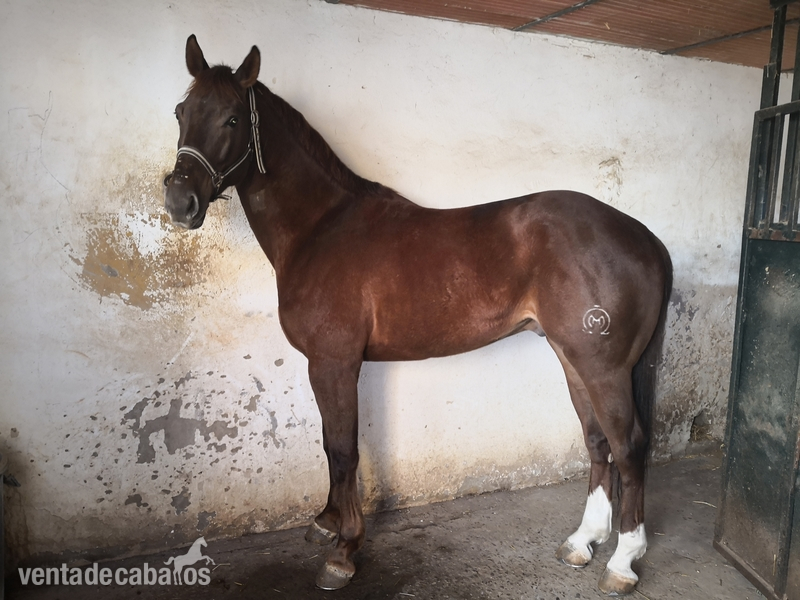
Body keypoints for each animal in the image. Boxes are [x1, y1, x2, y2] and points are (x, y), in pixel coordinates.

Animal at [163, 35, 672, 596]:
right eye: (181, 111)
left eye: (232, 119)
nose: (180, 202)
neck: (321, 228)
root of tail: (644, 237)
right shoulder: (329, 365)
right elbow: (329, 445)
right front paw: (326, 522)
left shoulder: (335, 362)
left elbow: (343, 449)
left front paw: (343, 550)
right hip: (572, 358)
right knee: (598, 441)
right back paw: (583, 542)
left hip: (604, 368)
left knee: (629, 447)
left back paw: (622, 562)